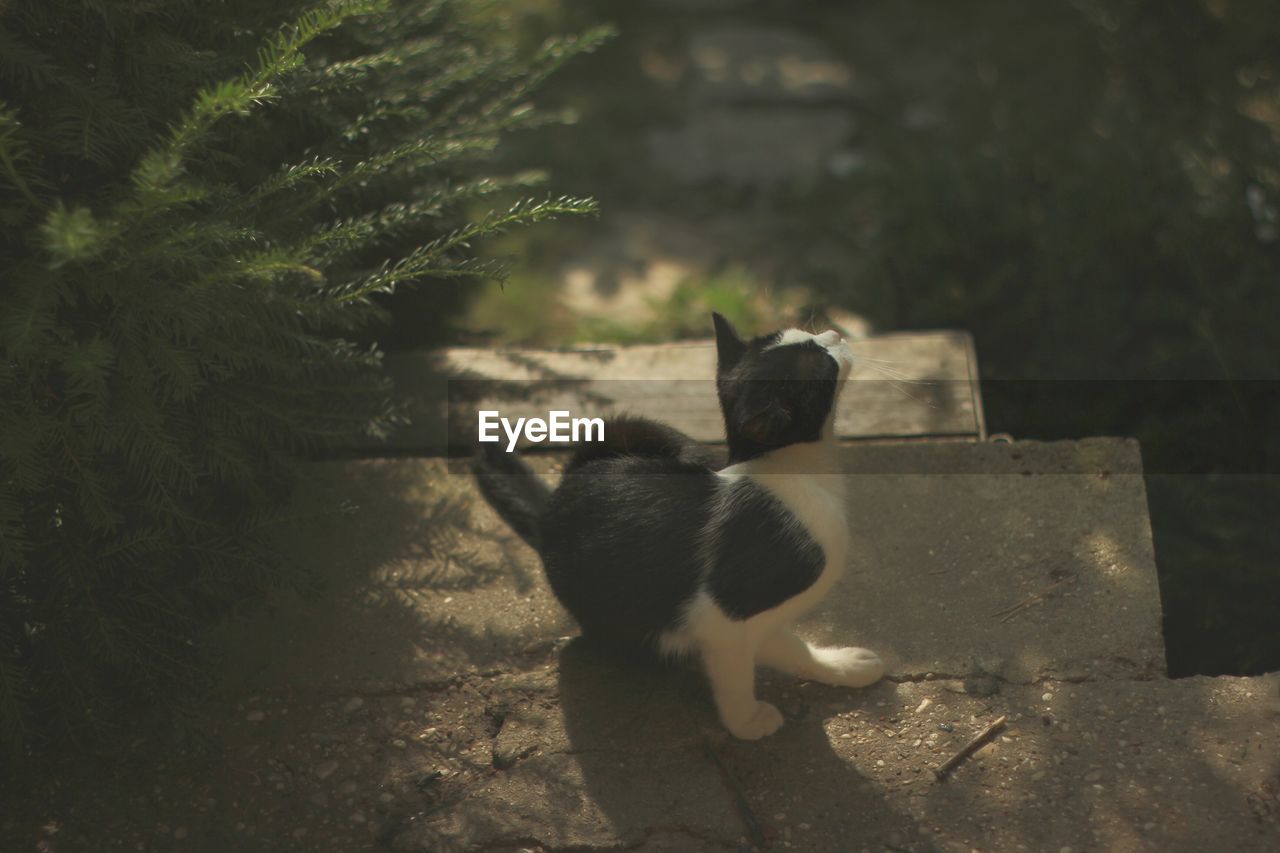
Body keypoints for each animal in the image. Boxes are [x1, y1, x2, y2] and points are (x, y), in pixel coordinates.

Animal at [476, 312, 885, 737]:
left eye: (804, 334)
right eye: (820, 360)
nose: (835, 334)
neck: (796, 473)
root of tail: (558, 497)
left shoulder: (756, 620)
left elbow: (790, 647)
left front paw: (840, 666)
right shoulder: (722, 615)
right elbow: (735, 675)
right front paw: (747, 722)